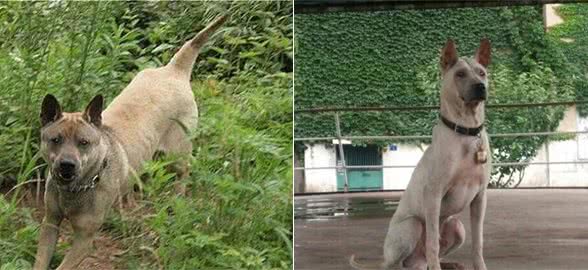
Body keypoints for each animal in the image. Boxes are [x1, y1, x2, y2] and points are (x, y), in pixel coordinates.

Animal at [32, 15, 227, 270]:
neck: (77, 189)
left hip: (177, 153)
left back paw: (177, 197)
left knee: (183, 172)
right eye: (56, 140)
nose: (67, 165)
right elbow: (41, 260)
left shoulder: (84, 240)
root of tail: (174, 70)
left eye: (84, 142)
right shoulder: (50, 223)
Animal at [352, 38, 494, 270]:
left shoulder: (480, 197)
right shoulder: (434, 194)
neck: (466, 130)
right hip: (412, 226)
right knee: (399, 262)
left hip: (457, 226)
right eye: (460, 74)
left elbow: (478, 242)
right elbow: (433, 244)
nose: (480, 87)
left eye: (482, 73)